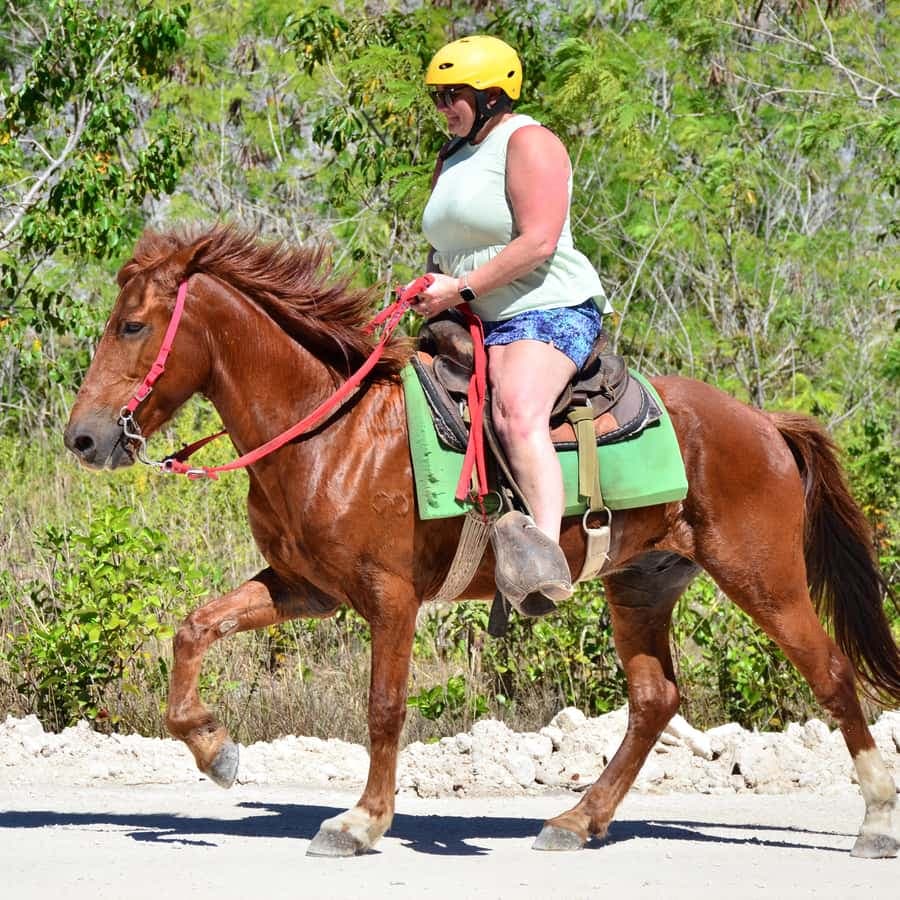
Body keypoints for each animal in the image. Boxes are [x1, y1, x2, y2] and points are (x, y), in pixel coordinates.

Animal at [64, 226, 900, 858]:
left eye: (132, 325)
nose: (84, 438)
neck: (331, 430)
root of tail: (765, 424)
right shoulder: (307, 588)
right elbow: (194, 628)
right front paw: (216, 750)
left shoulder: (389, 597)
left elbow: (383, 706)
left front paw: (361, 821)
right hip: (642, 583)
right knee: (655, 699)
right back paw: (577, 820)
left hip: (762, 575)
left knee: (829, 673)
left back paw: (876, 820)